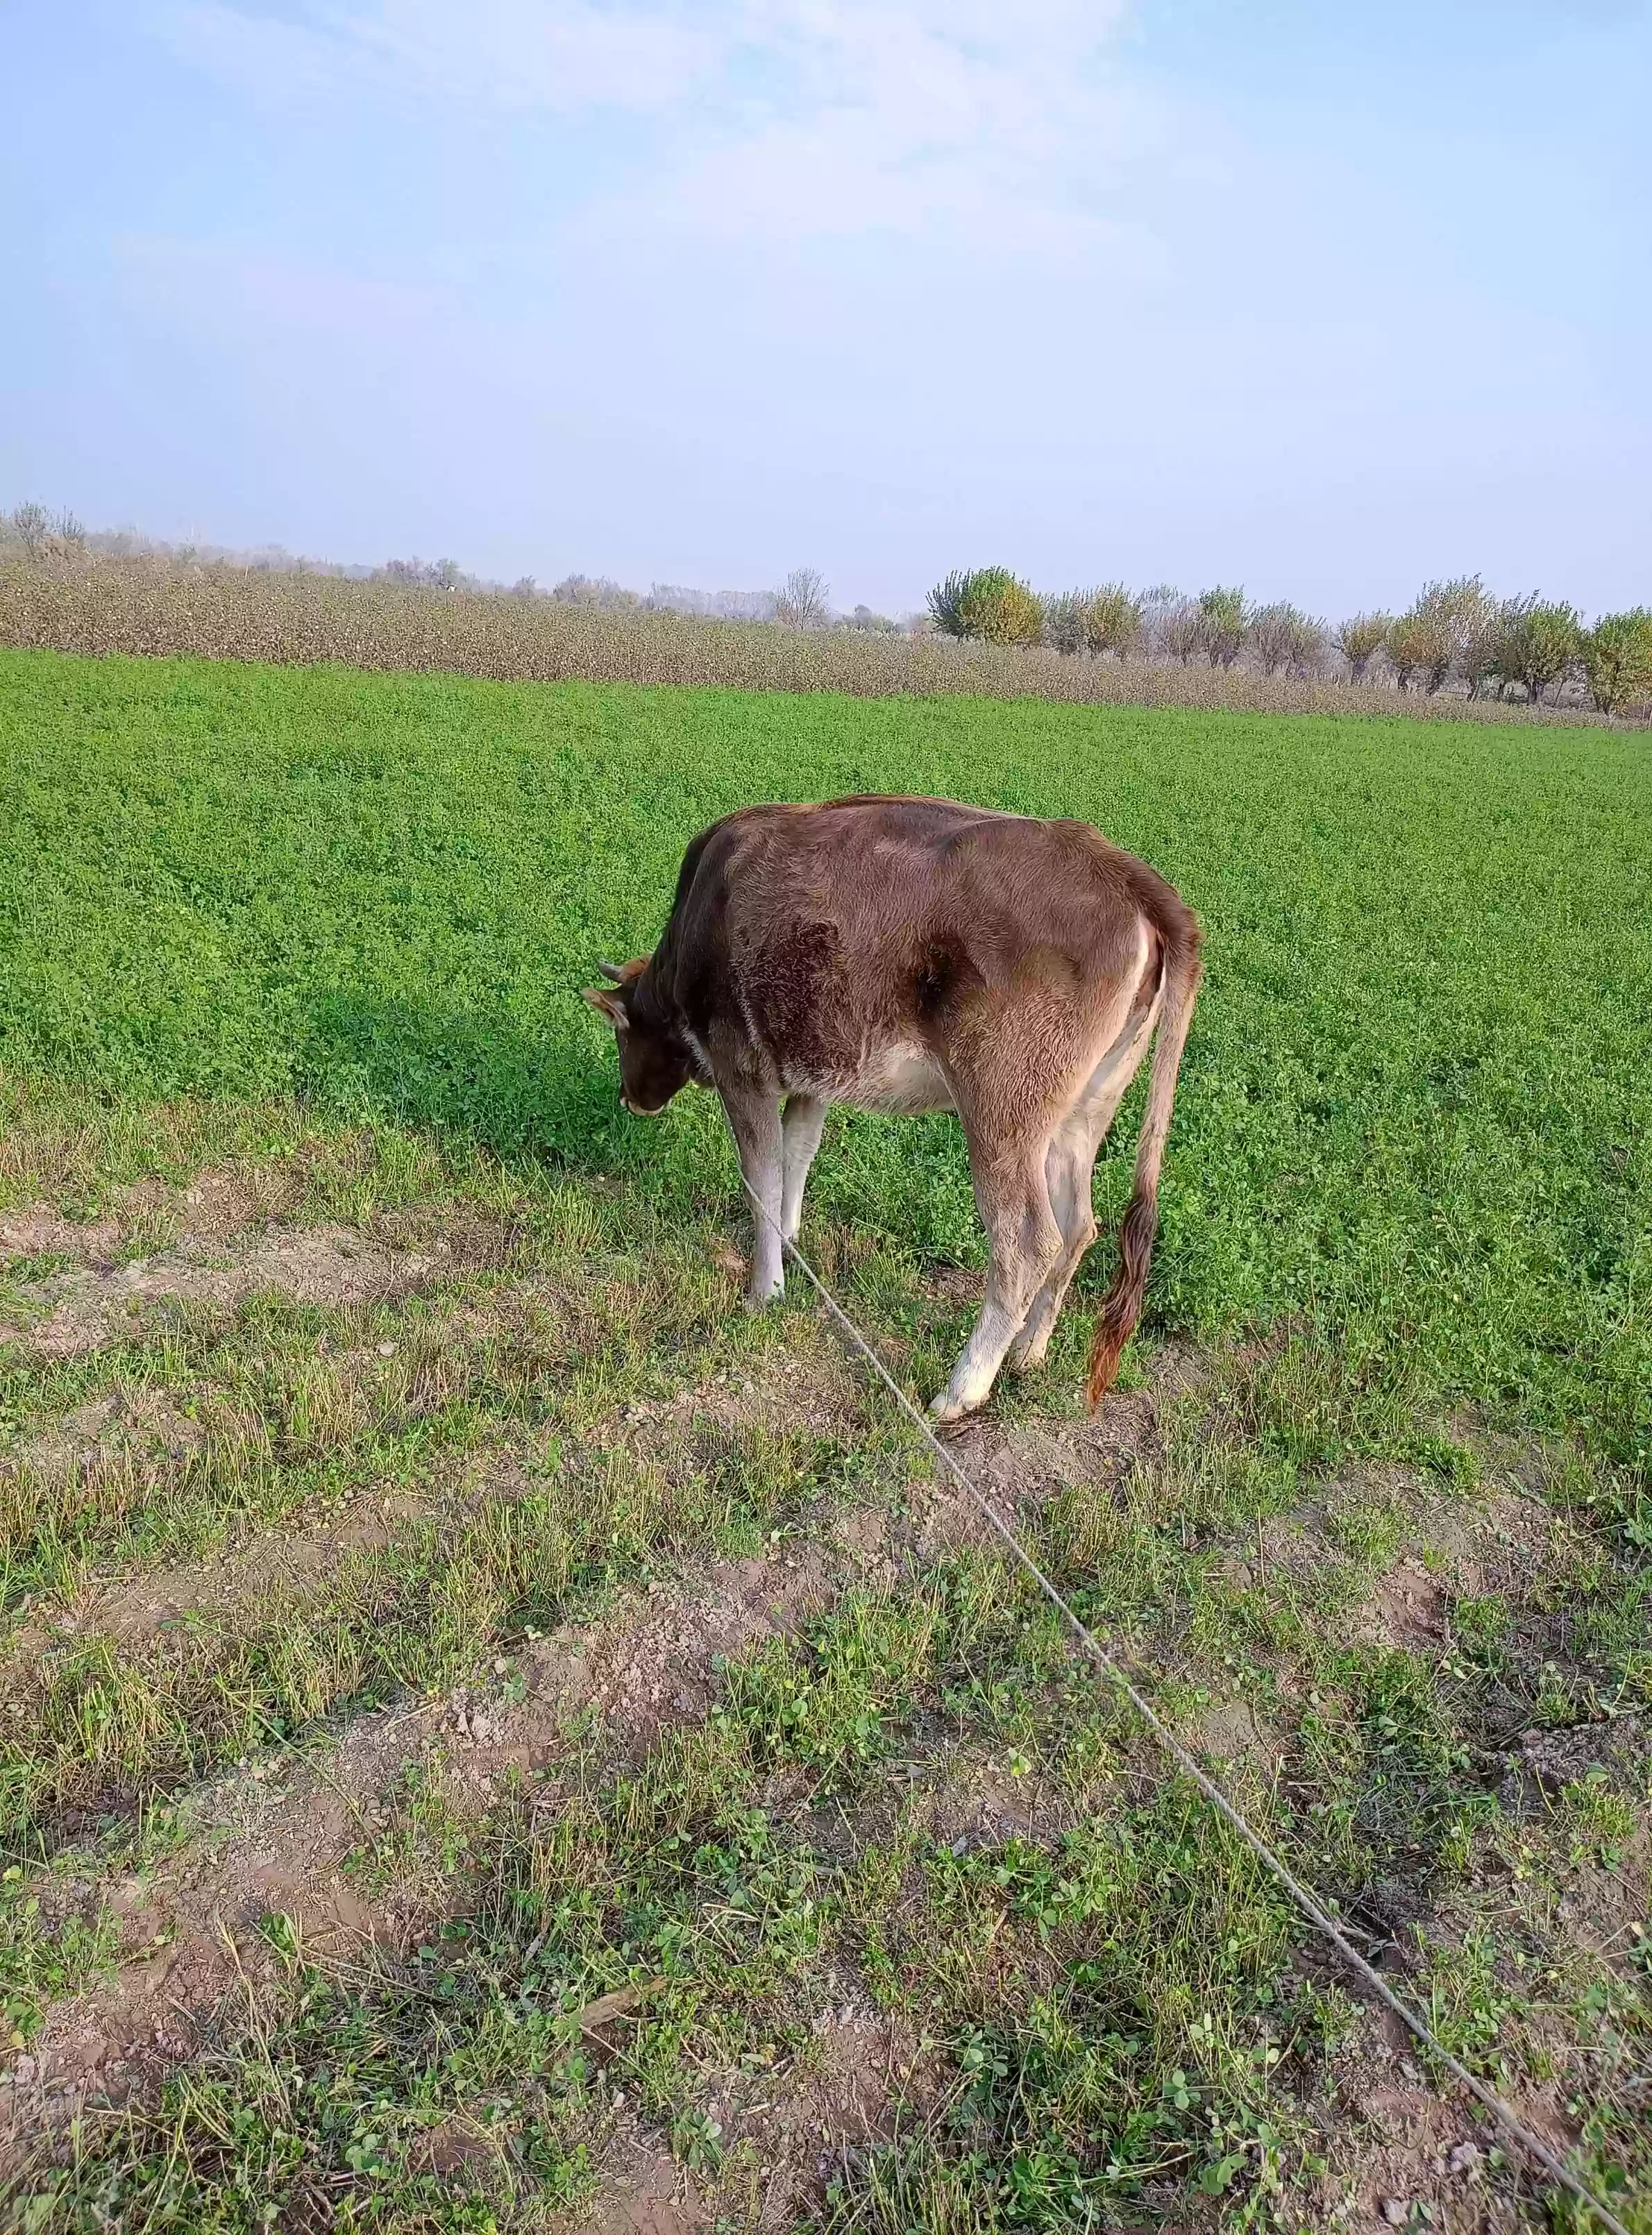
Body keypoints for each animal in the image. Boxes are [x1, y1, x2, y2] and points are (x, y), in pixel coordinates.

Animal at [584, 795, 1200, 1422]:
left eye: (621, 1034)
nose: (629, 1099)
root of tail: (1117, 868)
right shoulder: (815, 1071)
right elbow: (797, 1154)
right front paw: (789, 1240)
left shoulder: (741, 1066)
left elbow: (761, 1176)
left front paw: (764, 1290)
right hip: (1084, 1109)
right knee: (1079, 1226)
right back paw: (1030, 1350)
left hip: (1003, 1105)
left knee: (1027, 1241)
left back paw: (962, 1389)